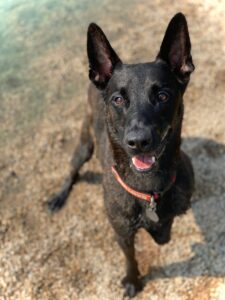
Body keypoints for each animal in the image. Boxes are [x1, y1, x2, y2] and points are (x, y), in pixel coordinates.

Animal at [48, 12, 195, 298]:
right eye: (118, 99)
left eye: (163, 96)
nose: (138, 142)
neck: (148, 190)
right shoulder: (122, 233)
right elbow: (130, 257)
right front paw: (132, 280)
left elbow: (164, 233)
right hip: (84, 145)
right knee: (72, 170)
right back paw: (59, 196)